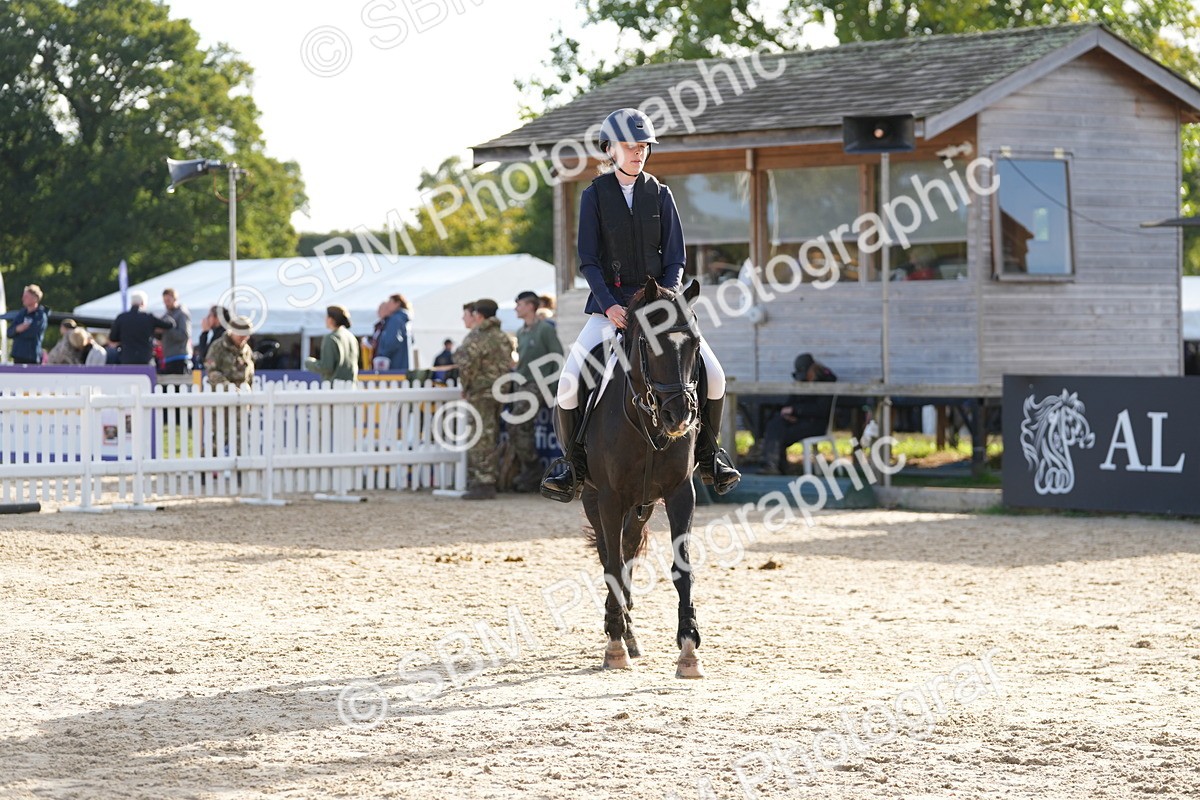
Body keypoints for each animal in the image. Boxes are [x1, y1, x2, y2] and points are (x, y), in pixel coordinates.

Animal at [579, 277, 705, 678]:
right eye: (650, 343)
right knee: (610, 555)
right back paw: (620, 633)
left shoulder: (681, 492)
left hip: (643, 504)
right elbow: (613, 567)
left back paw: (630, 633)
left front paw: (688, 647)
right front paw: (614, 646)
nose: (679, 416)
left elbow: (682, 567)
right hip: (593, 499)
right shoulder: (609, 497)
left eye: (695, 343)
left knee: (629, 548)